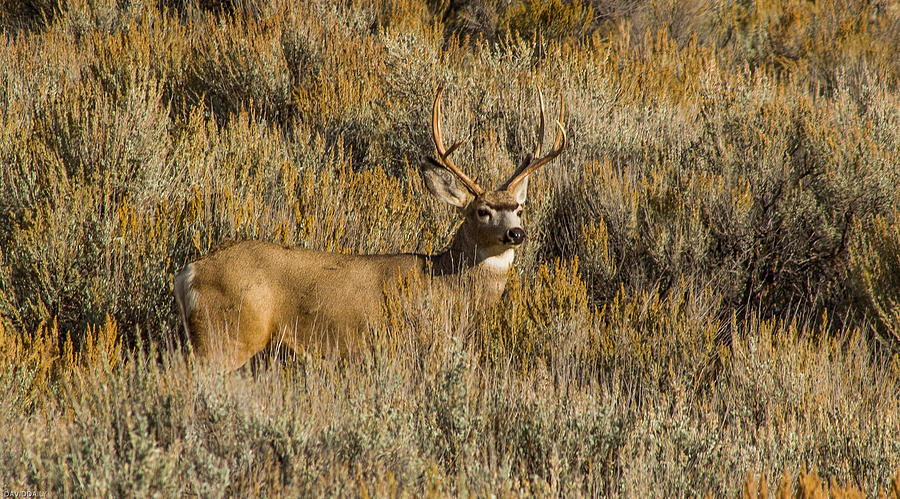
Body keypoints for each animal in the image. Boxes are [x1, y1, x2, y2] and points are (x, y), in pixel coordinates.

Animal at [173, 88, 568, 372]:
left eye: (518, 209)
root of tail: (188, 273)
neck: (446, 283)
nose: (516, 234)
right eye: (482, 211)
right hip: (226, 336)